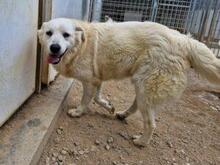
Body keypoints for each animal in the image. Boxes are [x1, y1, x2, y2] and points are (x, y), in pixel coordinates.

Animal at [38, 18, 220, 147]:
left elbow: (86, 100)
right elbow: (97, 97)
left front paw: (78, 112)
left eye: (66, 35)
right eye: (49, 33)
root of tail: (184, 40)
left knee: (151, 123)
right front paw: (109, 107)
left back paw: (141, 142)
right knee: (137, 105)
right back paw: (123, 114)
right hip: (142, 85)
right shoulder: (98, 78)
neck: (81, 44)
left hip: (147, 87)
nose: (54, 47)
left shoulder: (89, 81)